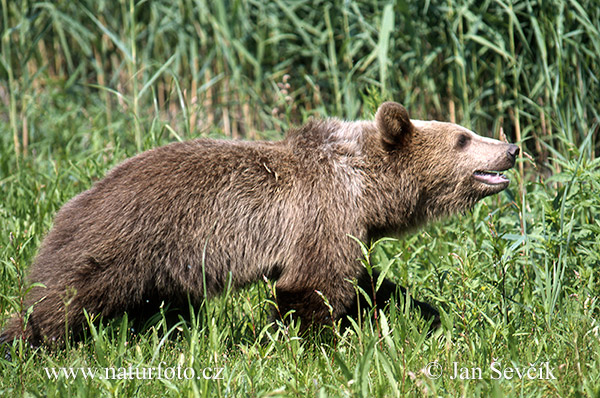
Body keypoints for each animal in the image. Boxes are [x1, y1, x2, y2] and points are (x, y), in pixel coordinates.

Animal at [0, 102, 516, 346]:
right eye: (463, 137)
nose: (511, 148)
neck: (367, 189)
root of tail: (70, 205)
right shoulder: (321, 214)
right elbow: (312, 287)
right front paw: (315, 342)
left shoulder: (346, 228)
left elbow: (370, 285)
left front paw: (423, 311)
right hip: (123, 244)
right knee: (63, 301)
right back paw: (29, 339)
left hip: (160, 268)